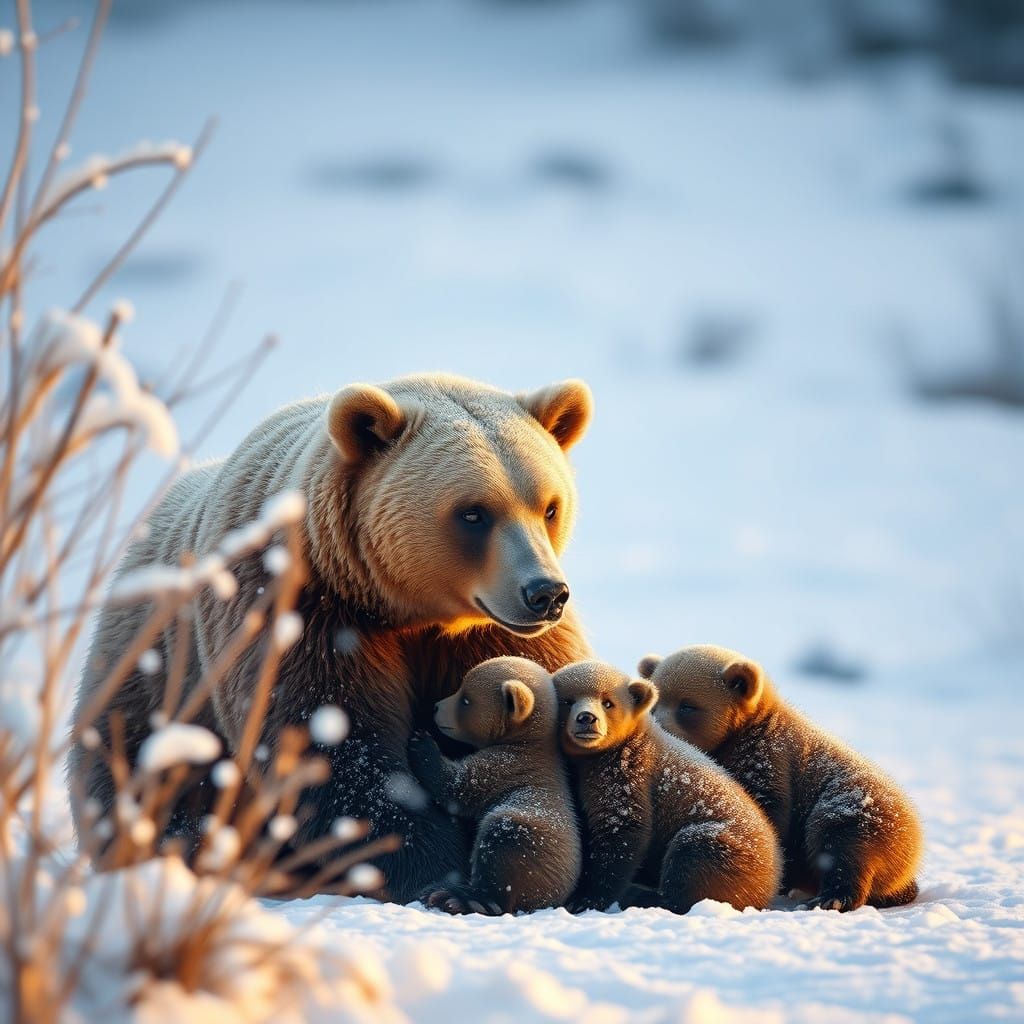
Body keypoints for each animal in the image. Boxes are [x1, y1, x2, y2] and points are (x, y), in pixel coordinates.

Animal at [407, 656, 581, 915]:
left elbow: (459, 789)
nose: (436, 707)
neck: (528, 743)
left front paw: (423, 745)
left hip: (531, 837)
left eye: (466, 699)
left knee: (502, 846)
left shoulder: (505, 766)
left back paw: (457, 897)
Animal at [552, 660, 781, 915]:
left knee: (694, 852)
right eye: (567, 700)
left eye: (608, 702)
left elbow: (621, 829)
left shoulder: (628, 773)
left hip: (734, 850)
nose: (586, 718)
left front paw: (586, 898)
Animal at [639, 644, 923, 911]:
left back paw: (831, 897)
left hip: (864, 806)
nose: (661, 728)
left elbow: (769, 812)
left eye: (687, 705)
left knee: (843, 837)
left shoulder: (769, 759)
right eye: (654, 704)